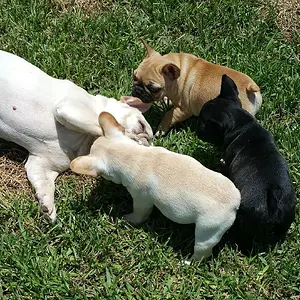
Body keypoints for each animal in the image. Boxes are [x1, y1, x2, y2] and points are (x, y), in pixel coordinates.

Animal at [0, 49, 154, 223]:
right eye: (142, 125)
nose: (147, 143)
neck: (82, 142)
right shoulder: (69, 108)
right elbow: (98, 123)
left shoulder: (41, 163)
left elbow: (43, 184)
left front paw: (47, 208)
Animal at [71, 111, 241, 262]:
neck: (132, 155)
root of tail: (235, 201)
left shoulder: (141, 200)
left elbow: (139, 214)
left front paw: (129, 219)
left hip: (207, 231)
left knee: (202, 252)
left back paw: (188, 262)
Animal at [130, 40, 262, 136]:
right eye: (134, 77)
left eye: (154, 89)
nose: (138, 90)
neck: (179, 77)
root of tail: (249, 87)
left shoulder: (183, 110)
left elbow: (168, 115)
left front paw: (160, 130)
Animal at [196, 74, 296, 252]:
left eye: (203, 124)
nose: (196, 129)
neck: (243, 124)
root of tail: (273, 196)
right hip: (286, 214)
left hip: (246, 219)